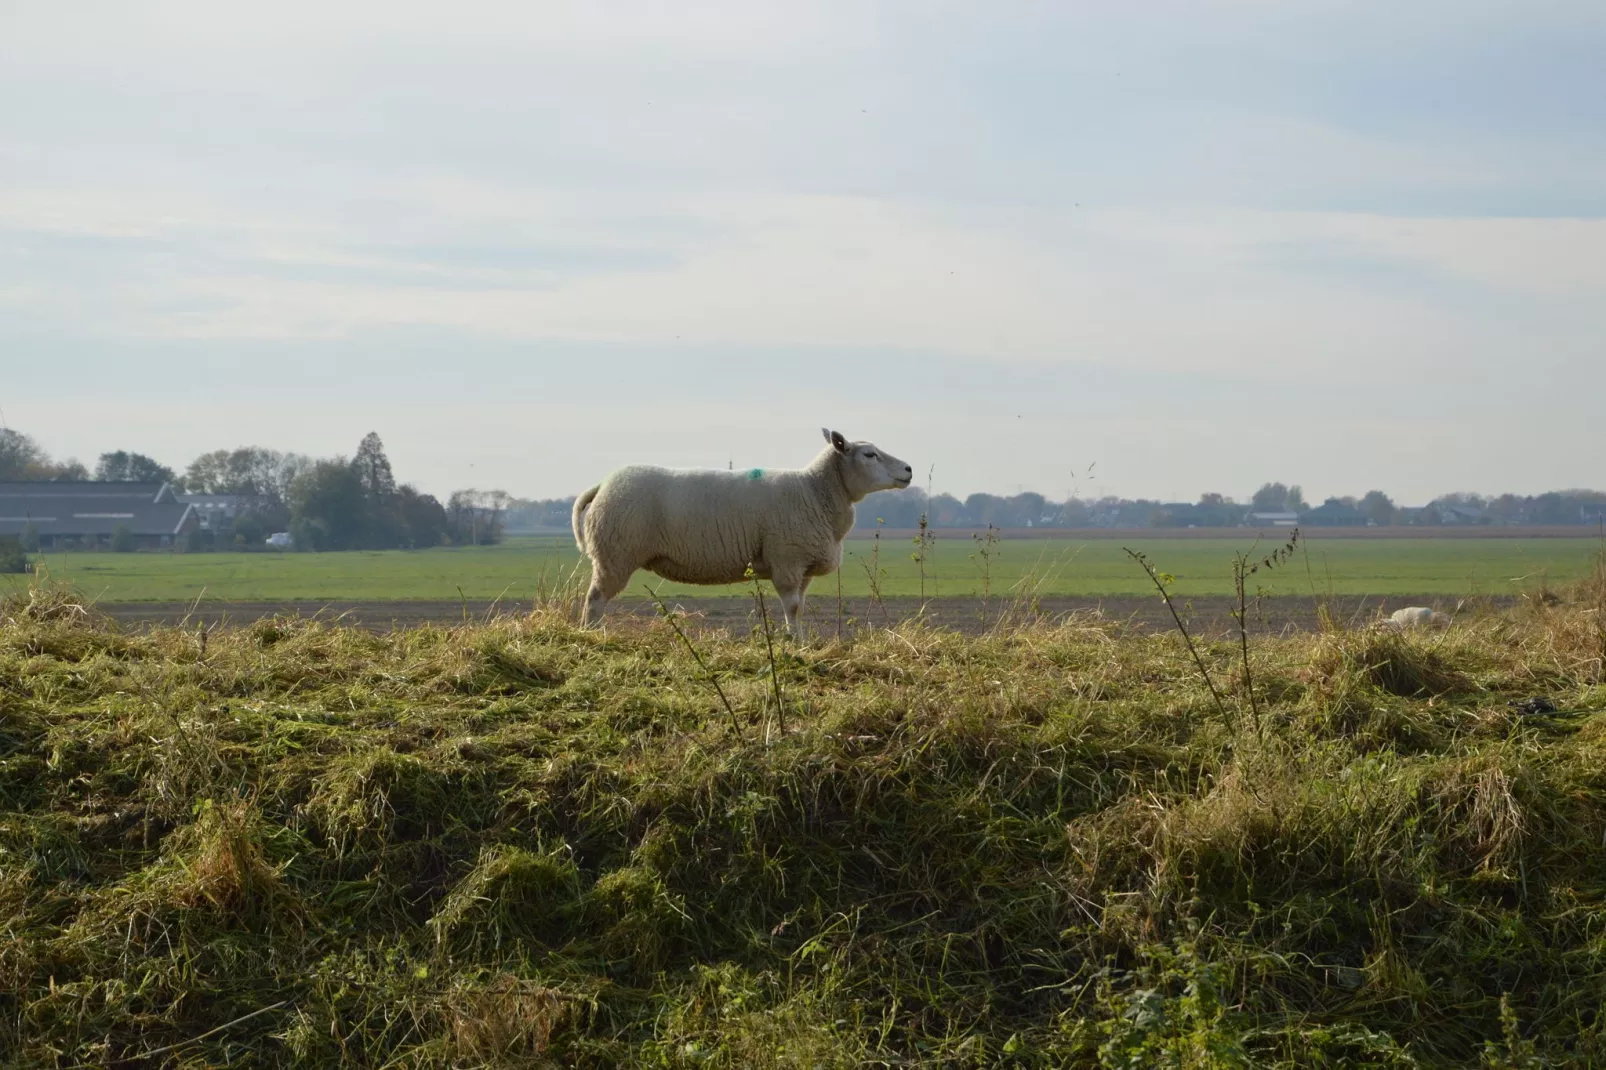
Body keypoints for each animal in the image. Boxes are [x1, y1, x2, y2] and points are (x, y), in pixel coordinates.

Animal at [571, 430, 912, 636]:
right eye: (869, 455)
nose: (909, 470)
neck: (814, 490)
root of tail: (602, 485)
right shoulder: (786, 559)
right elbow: (792, 607)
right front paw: (794, 643)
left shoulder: (803, 567)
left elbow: (800, 608)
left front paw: (801, 640)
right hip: (615, 555)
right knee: (595, 599)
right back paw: (592, 635)